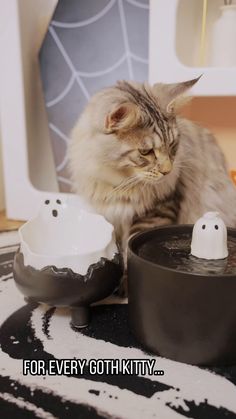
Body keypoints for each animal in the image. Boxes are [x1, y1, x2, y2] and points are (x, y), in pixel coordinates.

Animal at [67, 76, 236, 270]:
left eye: (172, 145)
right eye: (146, 152)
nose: (167, 171)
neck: (120, 183)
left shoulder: (158, 210)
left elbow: (130, 246)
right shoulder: (111, 216)